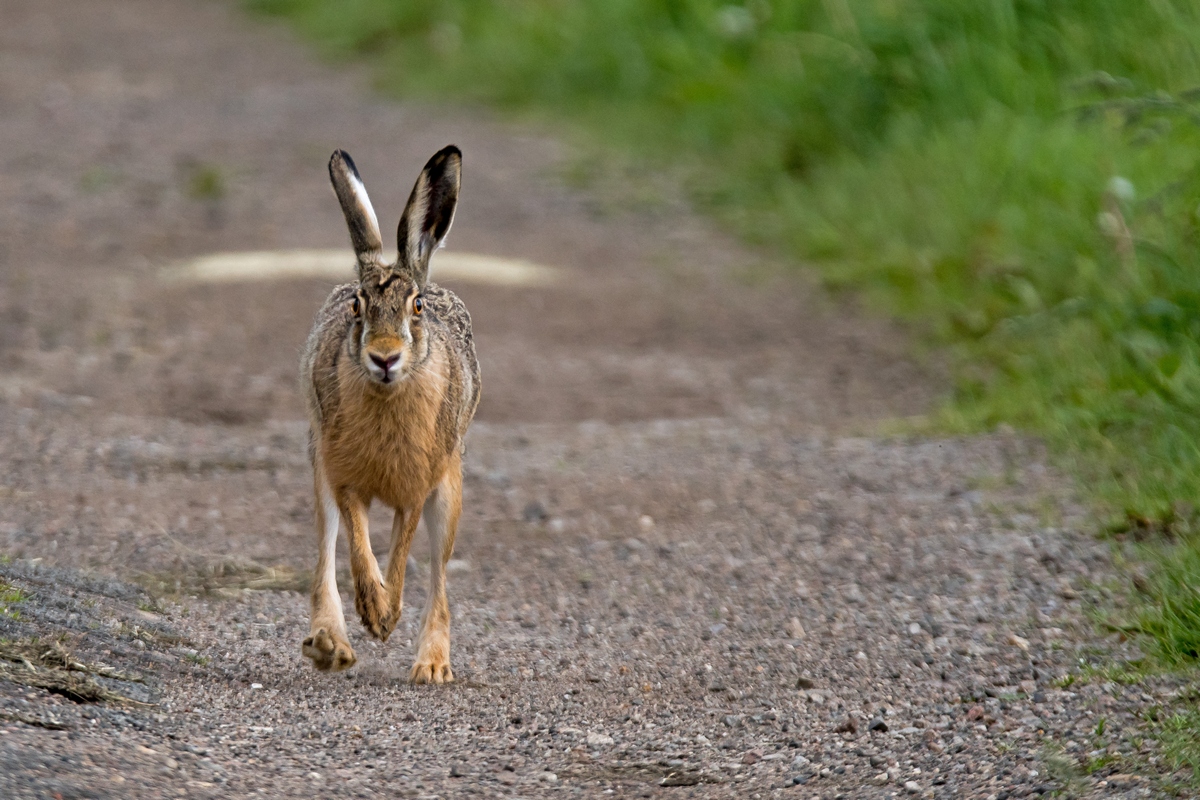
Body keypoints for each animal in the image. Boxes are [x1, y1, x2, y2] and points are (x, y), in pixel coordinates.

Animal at [299, 146, 479, 684]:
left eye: (415, 307)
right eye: (357, 306)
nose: (384, 358)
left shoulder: (418, 486)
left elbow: (401, 553)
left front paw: (386, 615)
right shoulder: (342, 476)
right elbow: (359, 546)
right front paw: (374, 613)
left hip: (451, 488)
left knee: (439, 574)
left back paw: (432, 664)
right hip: (317, 462)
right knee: (326, 552)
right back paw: (330, 644)